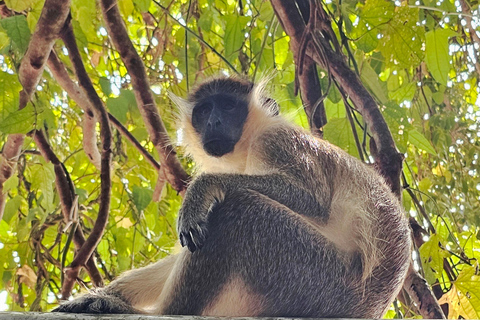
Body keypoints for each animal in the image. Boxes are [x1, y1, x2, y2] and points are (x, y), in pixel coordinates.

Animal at [53, 75, 412, 318]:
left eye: (228, 106)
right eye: (204, 111)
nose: (213, 121)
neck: (248, 145)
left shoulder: (278, 139)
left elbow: (311, 198)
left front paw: (202, 188)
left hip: (315, 280)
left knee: (238, 209)